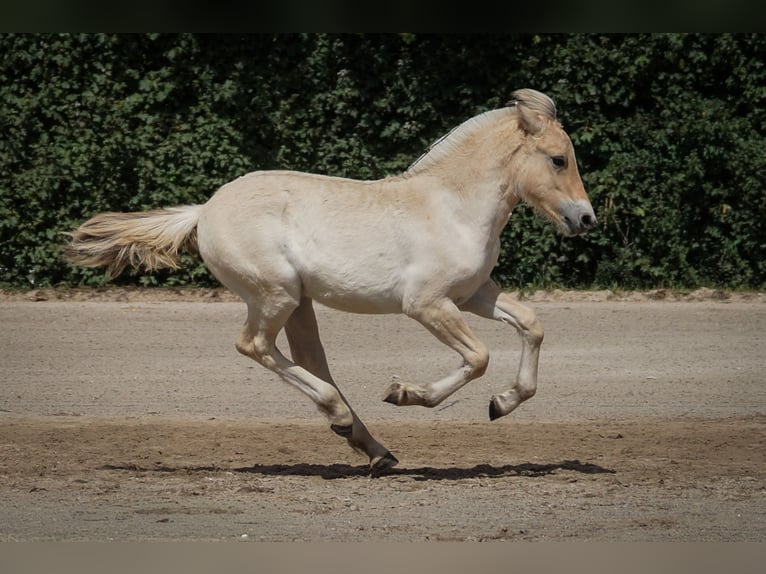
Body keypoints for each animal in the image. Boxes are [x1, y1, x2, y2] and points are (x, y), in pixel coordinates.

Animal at [64, 88, 597, 472]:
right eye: (557, 159)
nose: (586, 219)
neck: (453, 207)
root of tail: (203, 211)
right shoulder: (427, 304)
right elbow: (479, 356)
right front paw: (404, 393)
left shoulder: (472, 296)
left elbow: (531, 325)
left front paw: (502, 403)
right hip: (275, 295)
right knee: (256, 346)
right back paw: (342, 417)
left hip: (298, 302)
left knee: (308, 359)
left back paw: (373, 448)